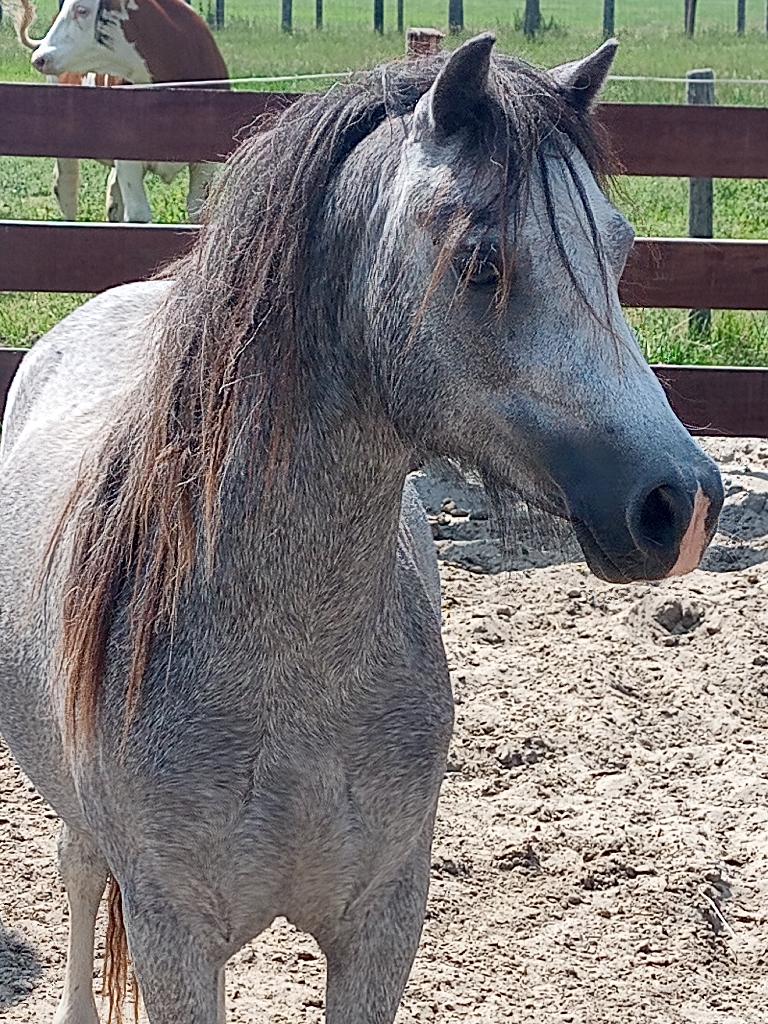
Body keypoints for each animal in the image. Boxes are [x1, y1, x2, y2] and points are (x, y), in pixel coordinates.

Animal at [0, 35, 723, 1024]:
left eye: (617, 250)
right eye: (479, 261)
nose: (682, 503)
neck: (290, 668)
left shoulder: (383, 926)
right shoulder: (174, 940)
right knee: (77, 868)